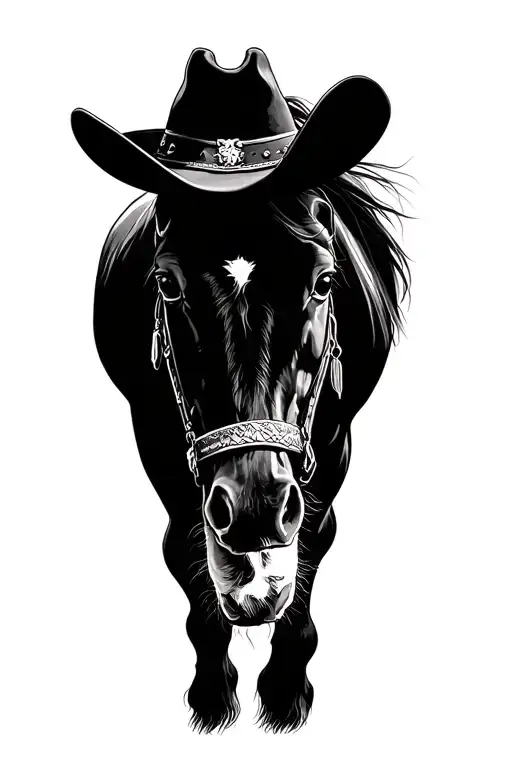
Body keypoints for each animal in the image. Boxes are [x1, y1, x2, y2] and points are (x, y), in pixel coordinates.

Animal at [92, 96, 410, 734]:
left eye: (325, 280)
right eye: (165, 283)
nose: (255, 507)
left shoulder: (330, 449)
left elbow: (310, 547)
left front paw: (285, 697)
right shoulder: (161, 447)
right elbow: (189, 564)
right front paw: (213, 699)